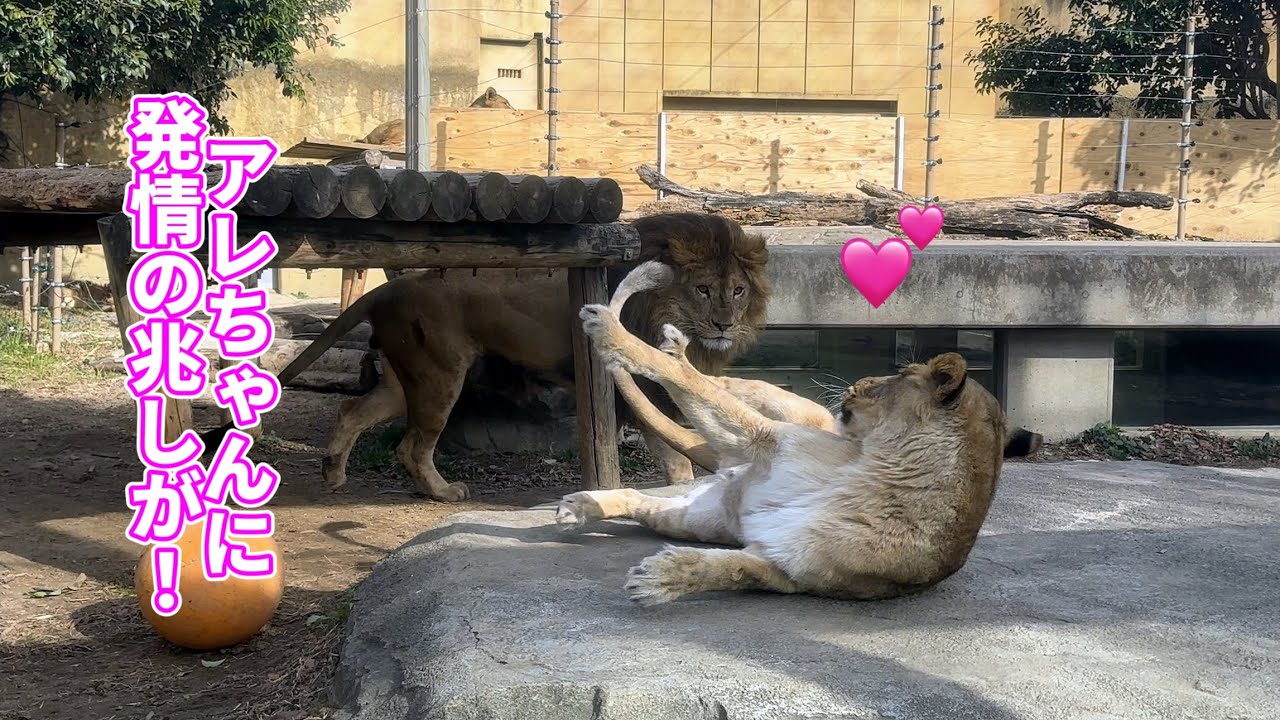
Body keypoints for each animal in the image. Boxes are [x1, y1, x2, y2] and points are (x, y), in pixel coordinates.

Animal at [240, 213, 772, 501]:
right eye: (703, 290)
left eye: (738, 291)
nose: (724, 324)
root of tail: (389, 287)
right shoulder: (635, 394)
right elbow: (675, 458)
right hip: (439, 376)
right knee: (410, 446)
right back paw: (444, 492)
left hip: (401, 378)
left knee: (352, 412)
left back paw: (333, 474)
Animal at [555, 298, 1043, 606]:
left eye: (898, 374)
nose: (857, 383)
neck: (877, 472)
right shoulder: (771, 438)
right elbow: (704, 393)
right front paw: (614, 334)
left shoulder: (786, 569)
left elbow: (732, 570)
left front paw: (662, 578)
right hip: (793, 414)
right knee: (719, 382)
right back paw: (672, 347)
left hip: (697, 519)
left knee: (645, 499)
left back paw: (580, 507)